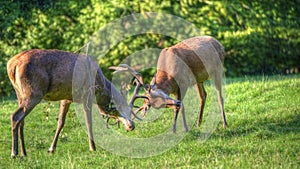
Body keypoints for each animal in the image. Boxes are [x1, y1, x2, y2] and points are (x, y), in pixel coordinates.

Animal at [6, 49, 135, 158]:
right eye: (123, 107)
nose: (132, 126)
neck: (100, 89)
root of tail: (11, 65)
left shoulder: (66, 98)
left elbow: (60, 122)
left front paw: (51, 149)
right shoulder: (87, 94)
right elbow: (89, 122)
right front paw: (93, 148)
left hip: (20, 93)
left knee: (22, 121)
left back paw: (24, 152)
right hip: (33, 93)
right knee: (15, 116)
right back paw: (14, 153)